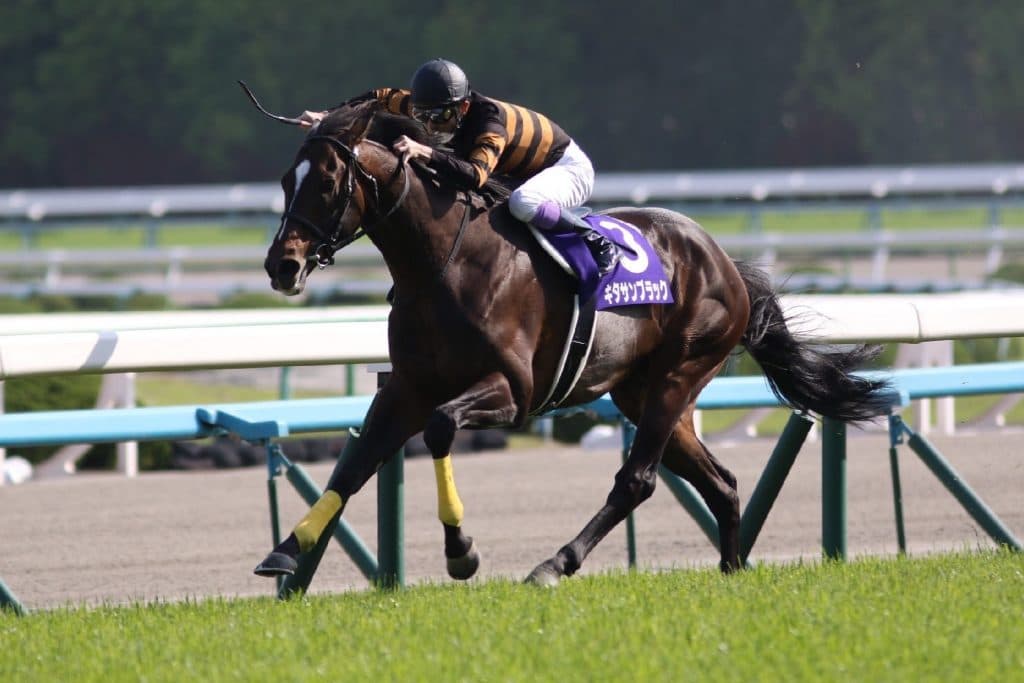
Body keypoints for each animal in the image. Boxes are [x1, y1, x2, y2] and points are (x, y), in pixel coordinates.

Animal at [253, 97, 890, 586]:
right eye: (285, 182)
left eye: (327, 183)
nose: (282, 266)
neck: (440, 266)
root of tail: (726, 263)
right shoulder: (407, 387)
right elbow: (354, 465)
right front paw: (286, 550)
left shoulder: (513, 390)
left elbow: (438, 428)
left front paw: (462, 554)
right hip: (642, 391)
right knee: (722, 483)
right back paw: (732, 570)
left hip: (680, 373)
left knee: (636, 481)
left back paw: (554, 564)